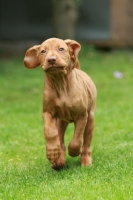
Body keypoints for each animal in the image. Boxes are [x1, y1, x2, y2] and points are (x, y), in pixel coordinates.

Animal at [23, 37, 96, 169]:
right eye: (43, 51)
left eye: (61, 49)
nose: (51, 59)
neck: (60, 83)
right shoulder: (47, 112)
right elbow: (50, 132)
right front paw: (52, 152)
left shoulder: (82, 115)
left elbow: (77, 138)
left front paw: (74, 151)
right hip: (61, 121)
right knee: (60, 138)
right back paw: (58, 161)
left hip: (90, 119)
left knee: (86, 143)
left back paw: (86, 162)